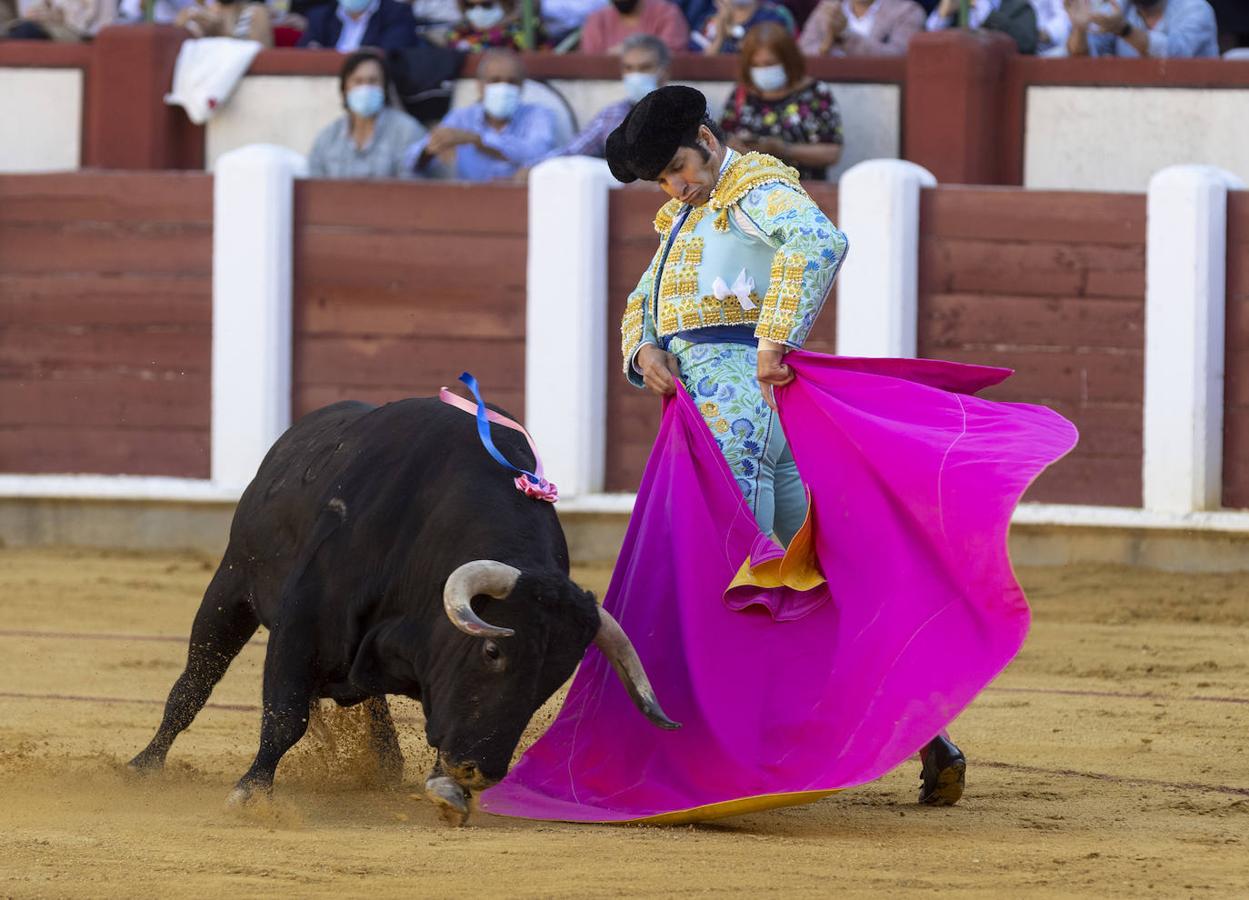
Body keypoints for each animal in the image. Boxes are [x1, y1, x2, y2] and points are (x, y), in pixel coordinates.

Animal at [131, 399, 679, 823]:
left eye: (555, 677)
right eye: (492, 651)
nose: (478, 769)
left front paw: (447, 790)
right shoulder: (300, 626)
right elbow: (285, 715)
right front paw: (250, 793)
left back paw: (386, 762)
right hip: (231, 587)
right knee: (192, 686)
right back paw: (143, 765)